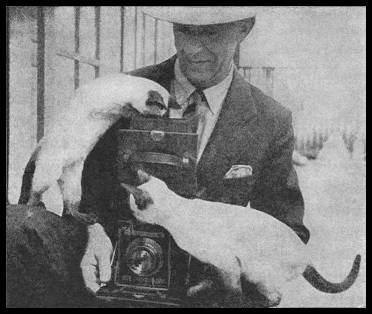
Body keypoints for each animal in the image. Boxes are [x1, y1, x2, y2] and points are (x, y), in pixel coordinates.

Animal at [122, 172, 360, 306]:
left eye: (133, 208)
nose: (129, 214)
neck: (178, 210)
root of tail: (306, 257)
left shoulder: (227, 263)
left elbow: (233, 292)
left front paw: (227, 301)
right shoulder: (216, 264)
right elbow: (211, 279)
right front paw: (198, 291)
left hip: (258, 272)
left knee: (275, 297)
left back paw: (255, 300)